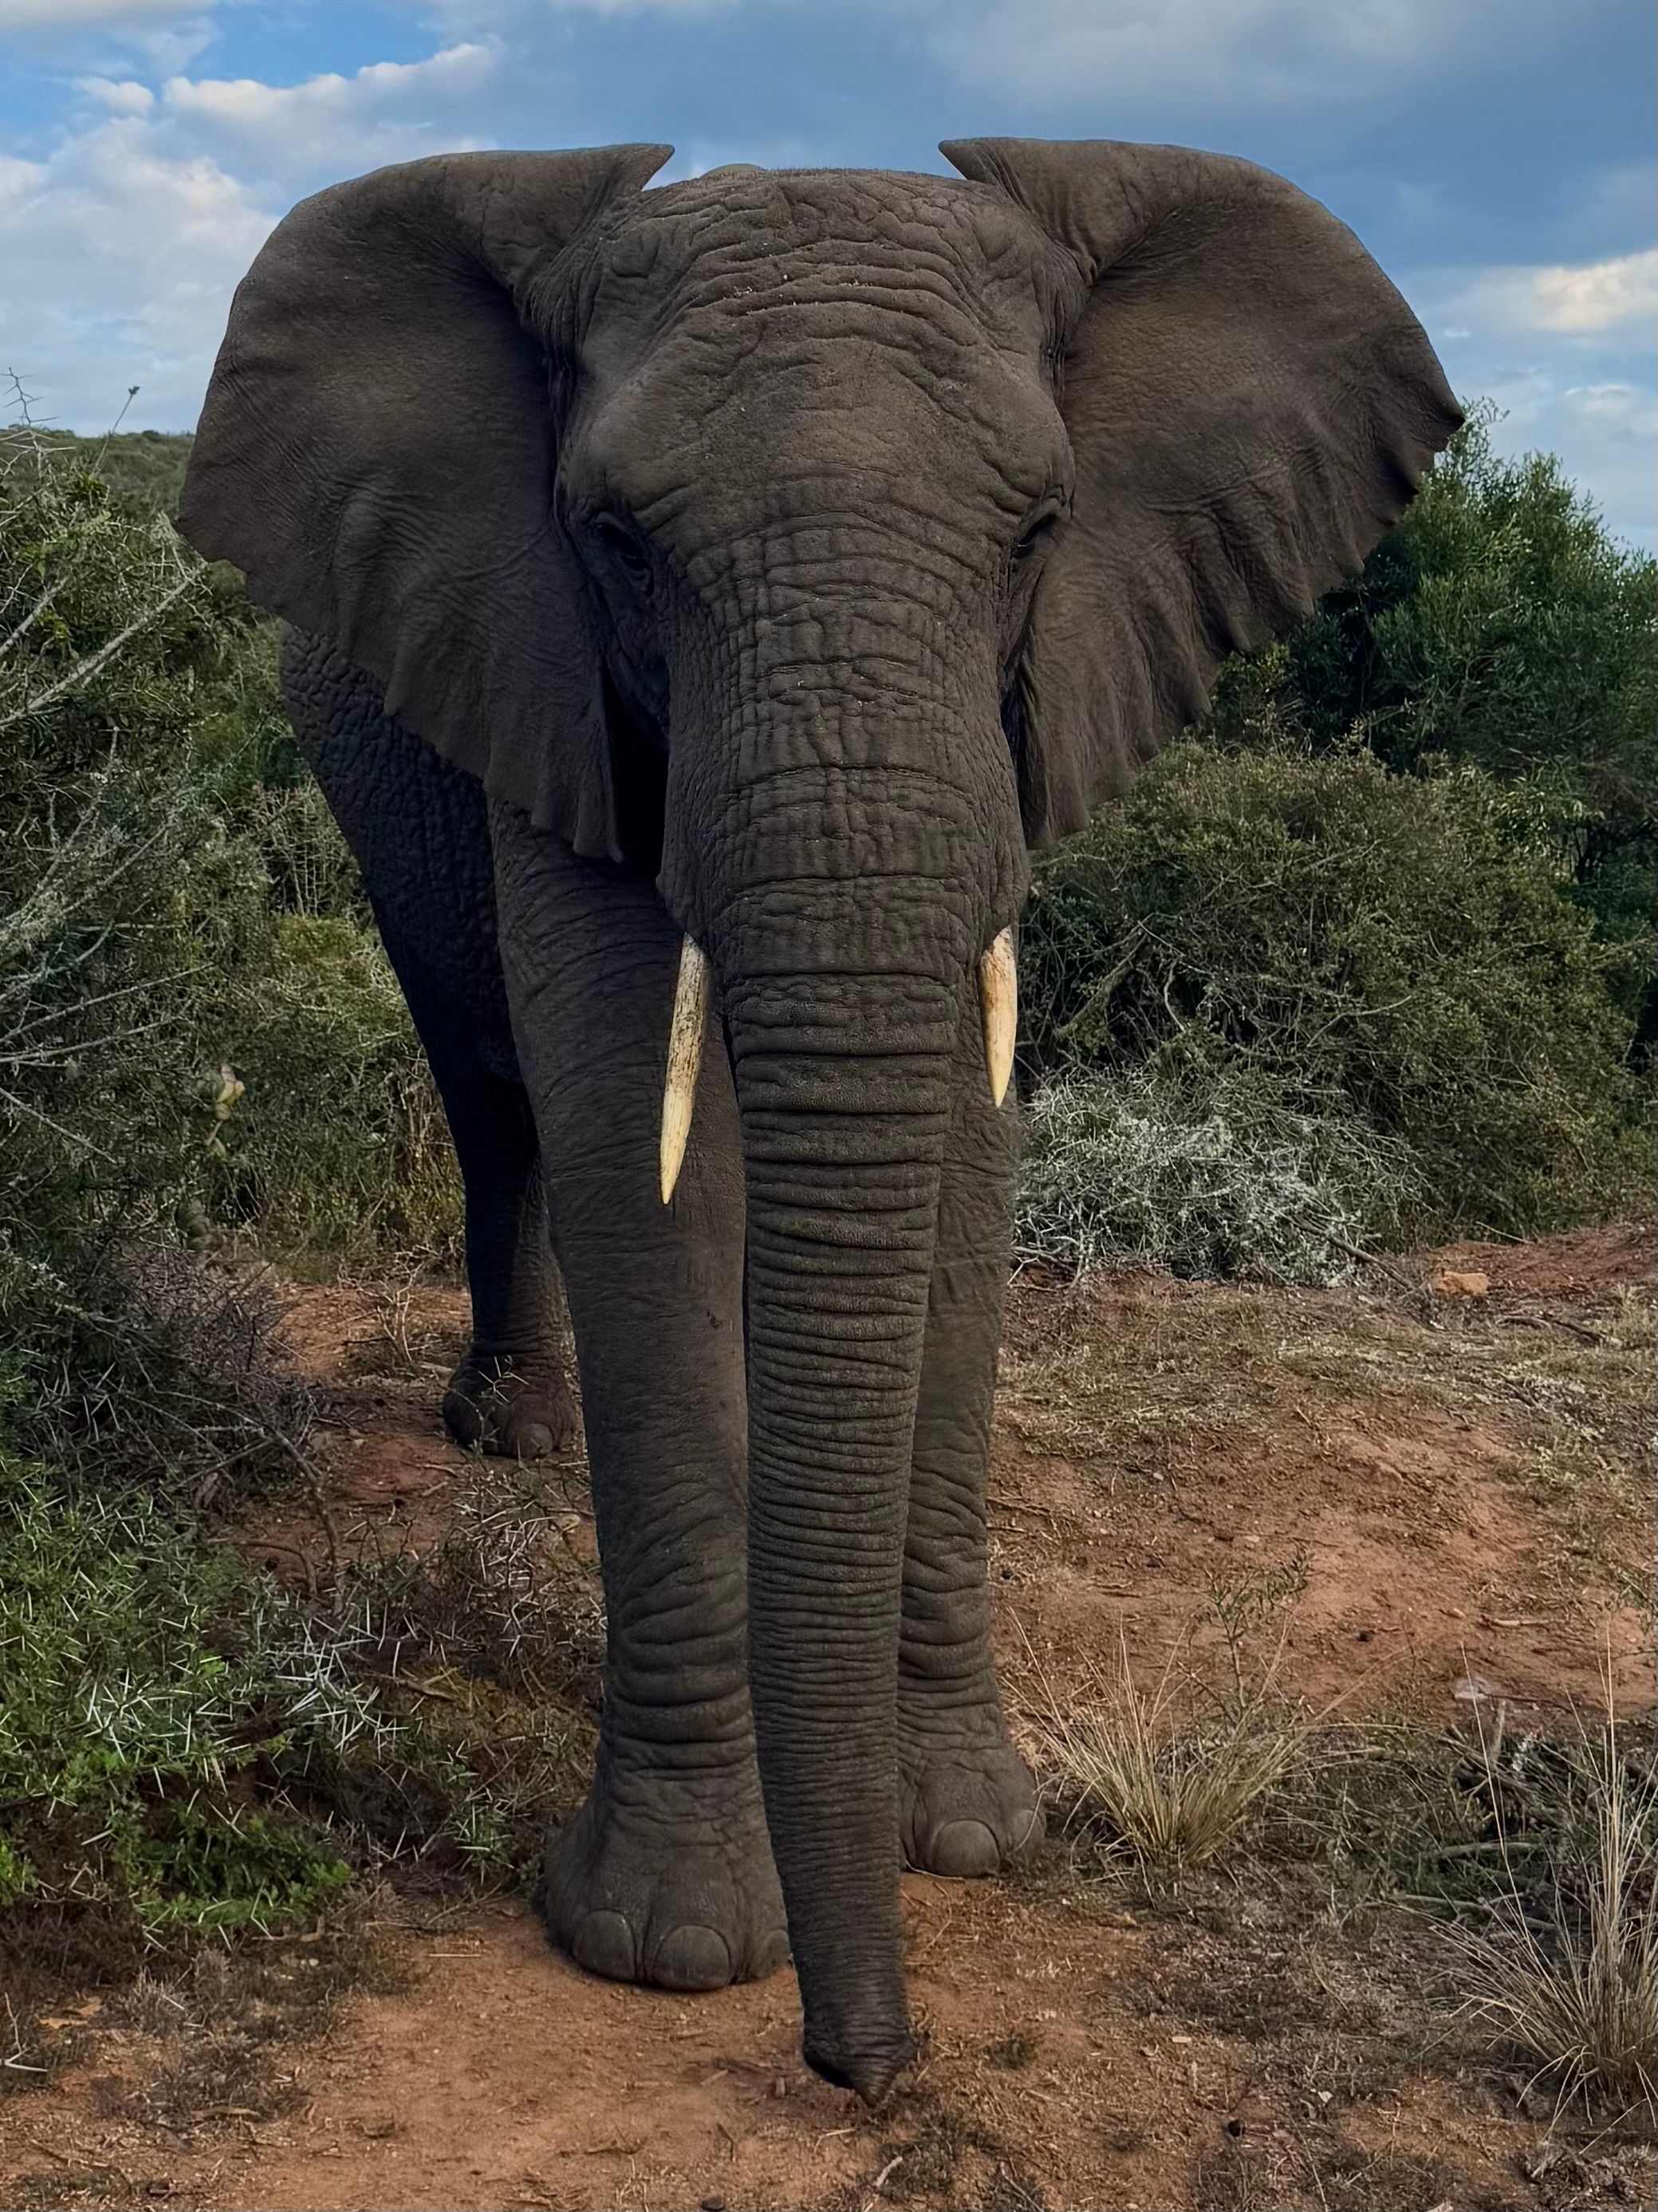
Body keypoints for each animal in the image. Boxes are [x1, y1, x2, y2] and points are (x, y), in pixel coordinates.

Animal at [178, 138, 1459, 2103]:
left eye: (1035, 533)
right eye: (616, 542)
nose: (870, 2065)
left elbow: (963, 1162)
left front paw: (969, 1835)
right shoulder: (552, 669)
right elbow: (629, 1133)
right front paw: (673, 1945)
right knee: (493, 1092)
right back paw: (513, 1434)